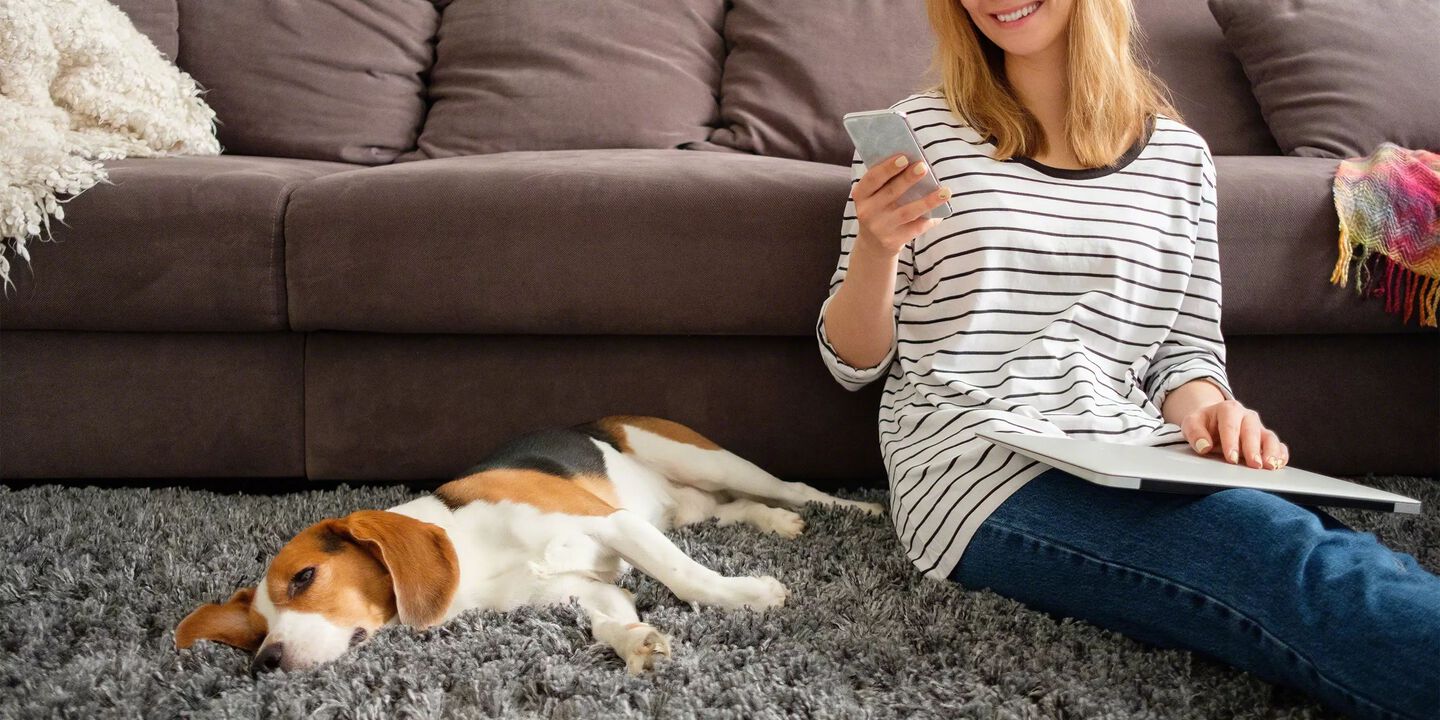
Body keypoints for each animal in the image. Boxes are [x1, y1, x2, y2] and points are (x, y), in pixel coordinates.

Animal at [174, 417, 881, 673]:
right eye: (254, 630)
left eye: (304, 579)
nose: (264, 662)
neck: (471, 553)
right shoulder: (581, 588)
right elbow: (609, 619)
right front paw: (637, 642)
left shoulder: (615, 526)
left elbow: (685, 576)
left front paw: (749, 596)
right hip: (689, 504)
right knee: (734, 510)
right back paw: (775, 524)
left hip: (699, 457)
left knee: (790, 486)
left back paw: (856, 509)